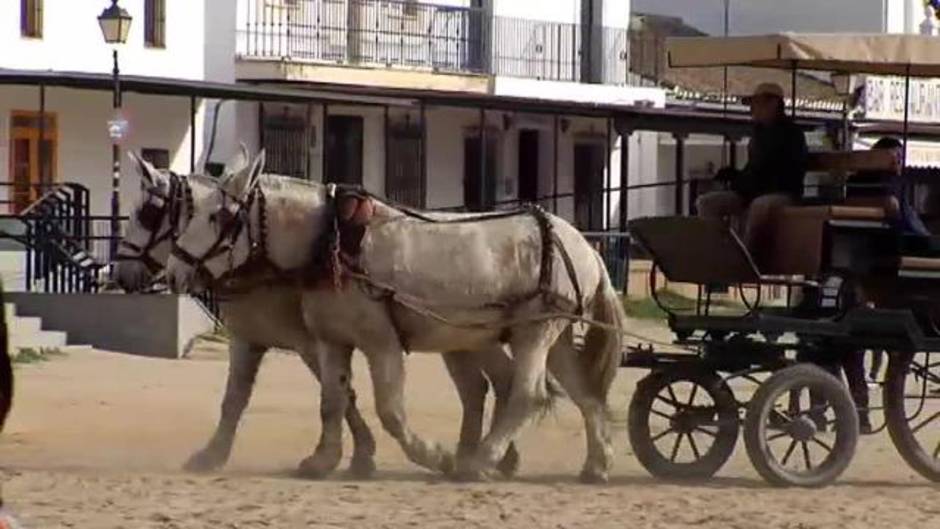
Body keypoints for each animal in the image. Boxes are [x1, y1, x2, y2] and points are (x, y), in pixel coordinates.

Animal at [114, 151, 524, 476]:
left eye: (147, 213)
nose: (120, 273)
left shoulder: (312, 342)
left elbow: (346, 397)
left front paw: (362, 455)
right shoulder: (250, 339)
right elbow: (236, 400)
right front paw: (212, 454)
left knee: (498, 383)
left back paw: (489, 455)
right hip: (461, 338)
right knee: (485, 386)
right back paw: (491, 455)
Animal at [168, 153, 624, 482]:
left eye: (219, 217)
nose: (173, 272)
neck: (334, 242)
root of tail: (583, 244)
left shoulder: (380, 342)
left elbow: (390, 411)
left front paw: (435, 456)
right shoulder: (332, 341)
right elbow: (332, 402)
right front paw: (322, 460)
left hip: (535, 330)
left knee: (526, 393)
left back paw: (478, 462)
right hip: (547, 335)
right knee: (584, 395)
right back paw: (595, 464)